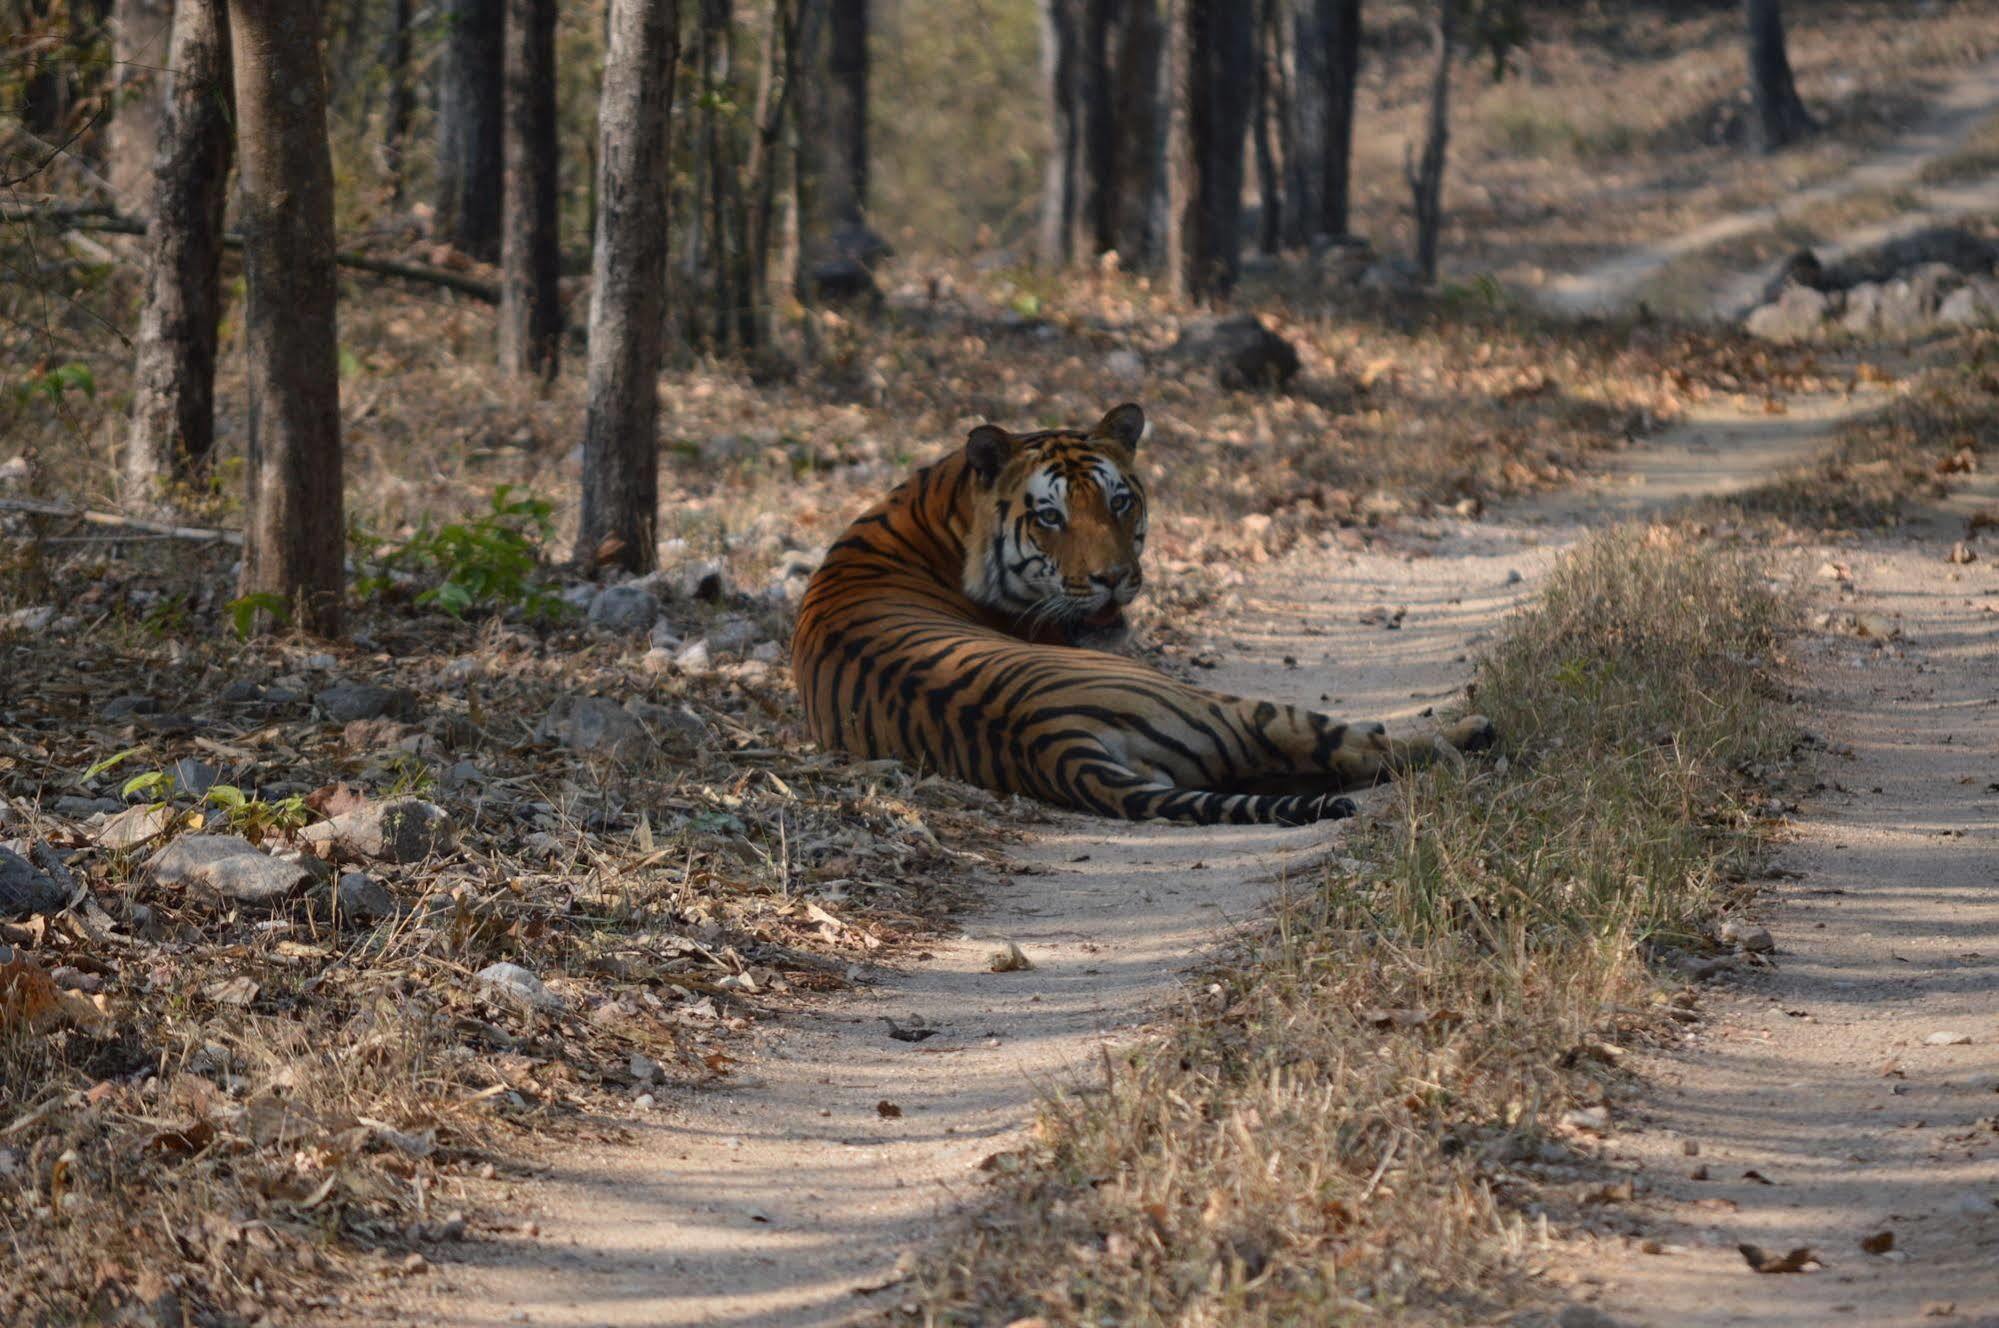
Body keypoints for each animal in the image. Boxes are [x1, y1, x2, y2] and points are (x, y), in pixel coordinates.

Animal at [787, 400, 1495, 824]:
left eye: (1119, 501)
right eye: (1050, 517)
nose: (1114, 579)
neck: (941, 507)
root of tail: (1049, 741)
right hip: (1228, 706)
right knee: (1365, 749)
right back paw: (1475, 730)